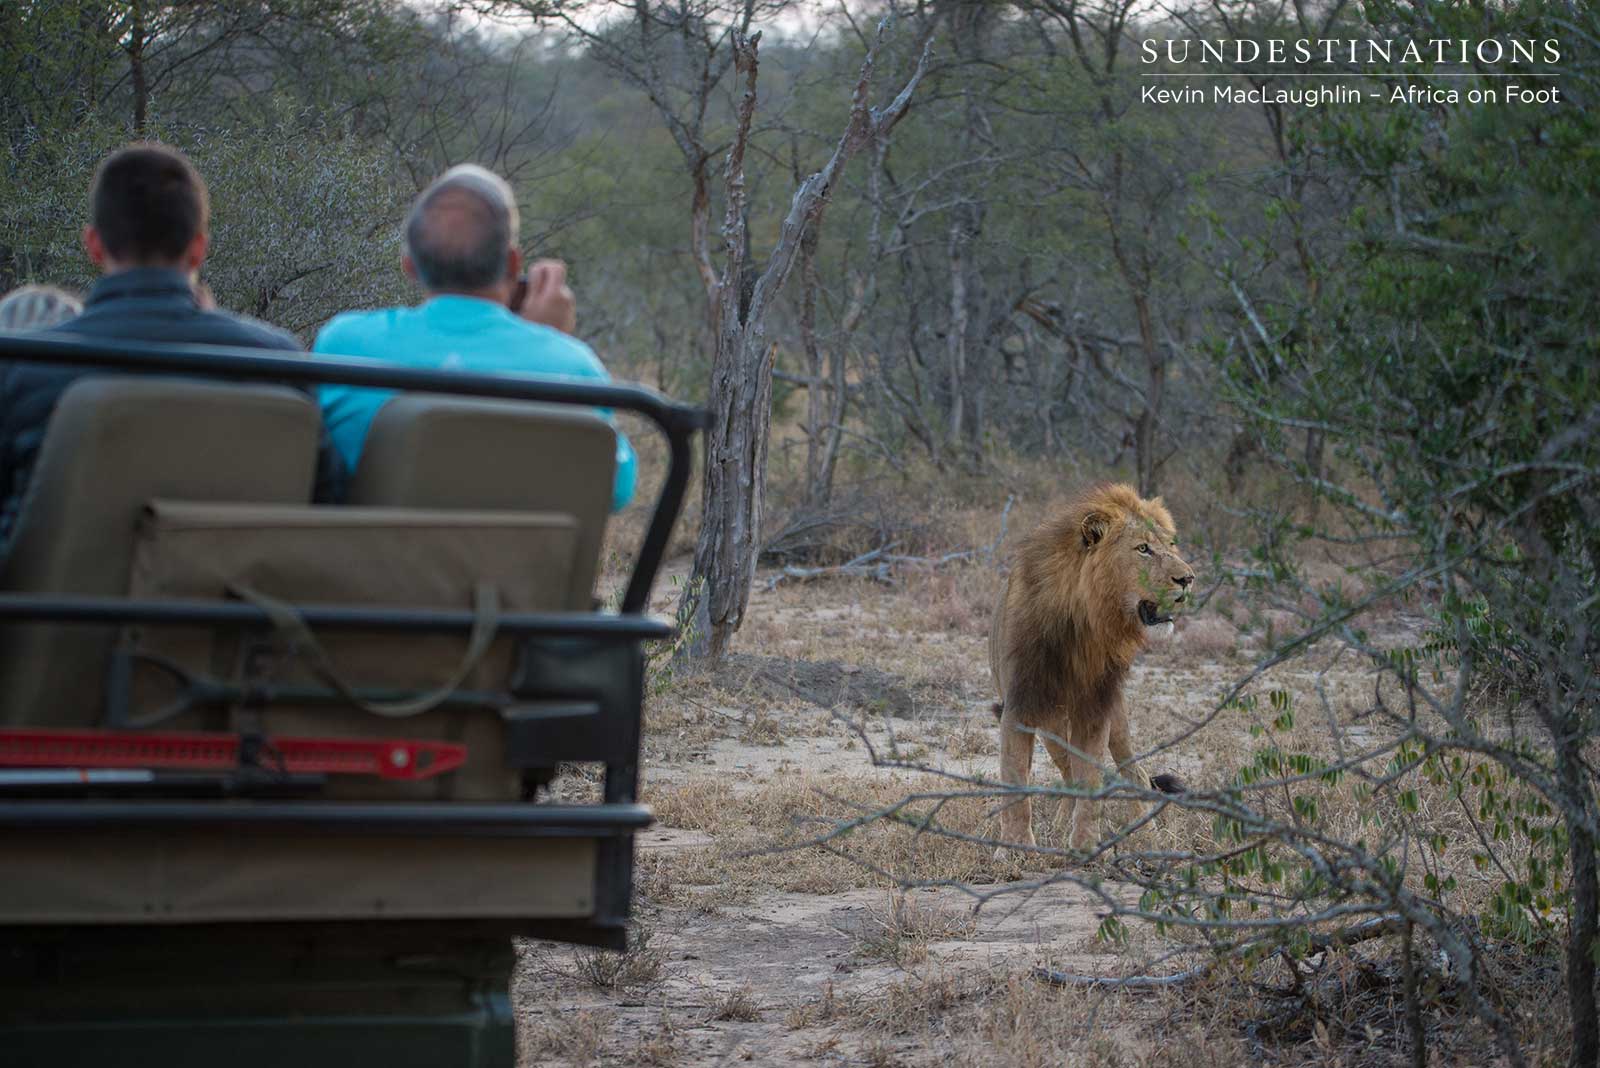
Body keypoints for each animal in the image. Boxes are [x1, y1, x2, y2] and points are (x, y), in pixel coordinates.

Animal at [990, 482, 1194, 855]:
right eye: (1143, 548)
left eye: (1171, 545)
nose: (1187, 578)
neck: (1083, 621)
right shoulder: (1020, 705)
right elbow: (1015, 782)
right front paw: (1013, 848)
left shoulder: (1096, 709)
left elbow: (1090, 781)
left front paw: (1085, 845)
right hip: (1052, 727)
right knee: (1067, 771)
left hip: (1116, 720)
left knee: (1134, 773)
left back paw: (1147, 834)